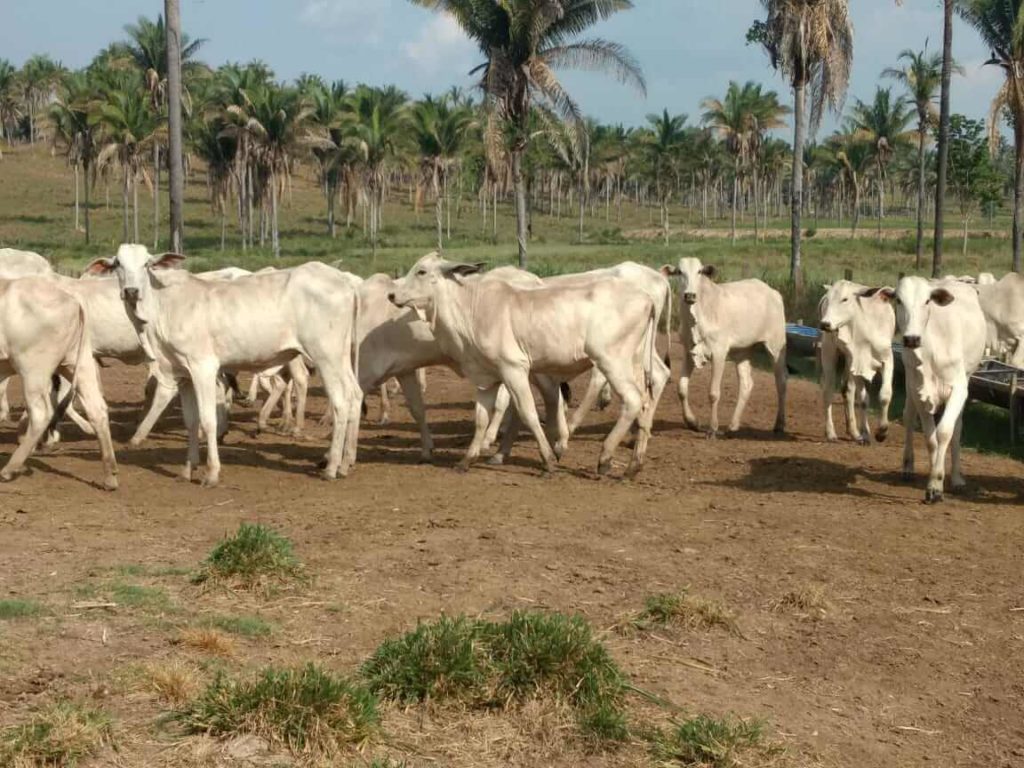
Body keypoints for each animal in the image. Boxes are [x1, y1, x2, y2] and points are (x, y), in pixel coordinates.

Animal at [0, 280, 117, 489]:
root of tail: (73, 301)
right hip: (79, 363)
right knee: (97, 409)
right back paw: (110, 475)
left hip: (33, 370)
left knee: (41, 414)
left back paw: (9, 468)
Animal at [88, 246, 362, 487]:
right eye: (118, 263)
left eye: (147, 264)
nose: (131, 291)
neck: (163, 308)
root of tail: (345, 282)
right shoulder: (183, 373)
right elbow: (191, 421)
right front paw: (187, 469)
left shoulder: (203, 367)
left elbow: (208, 419)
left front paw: (211, 473)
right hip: (341, 357)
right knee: (356, 395)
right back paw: (345, 463)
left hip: (326, 356)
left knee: (340, 401)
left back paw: (331, 466)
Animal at [659, 259, 786, 436]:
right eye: (679, 272)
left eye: (699, 271)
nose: (690, 295)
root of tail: (772, 292)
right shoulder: (689, 352)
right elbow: (682, 388)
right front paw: (692, 422)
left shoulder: (719, 353)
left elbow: (713, 393)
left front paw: (713, 428)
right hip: (742, 351)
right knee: (746, 383)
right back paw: (733, 425)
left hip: (776, 346)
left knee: (781, 382)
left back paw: (779, 425)